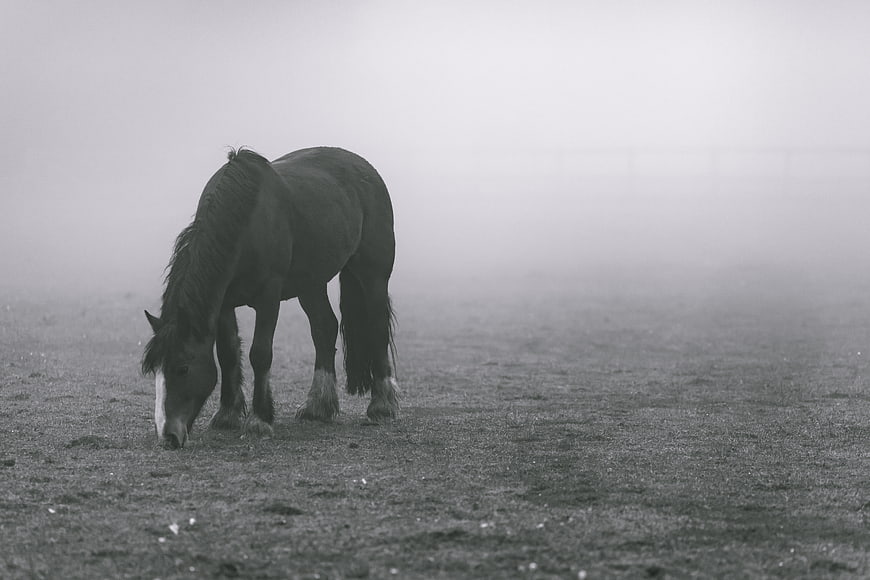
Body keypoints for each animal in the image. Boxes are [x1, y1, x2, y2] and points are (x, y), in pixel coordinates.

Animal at [141, 147, 398, 449]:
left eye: (182, 368)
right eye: (155, 370)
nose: (168, 435)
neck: (245, 222)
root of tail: (367, 170)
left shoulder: (268, 297)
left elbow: (260, 354)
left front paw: (259, 419)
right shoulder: (224, 303)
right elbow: (227, 353)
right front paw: (227, 414)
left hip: (373, 276)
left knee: (376, 328)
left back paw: (382, 405)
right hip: (311, 284)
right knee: (324, 328)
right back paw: (318, 406)